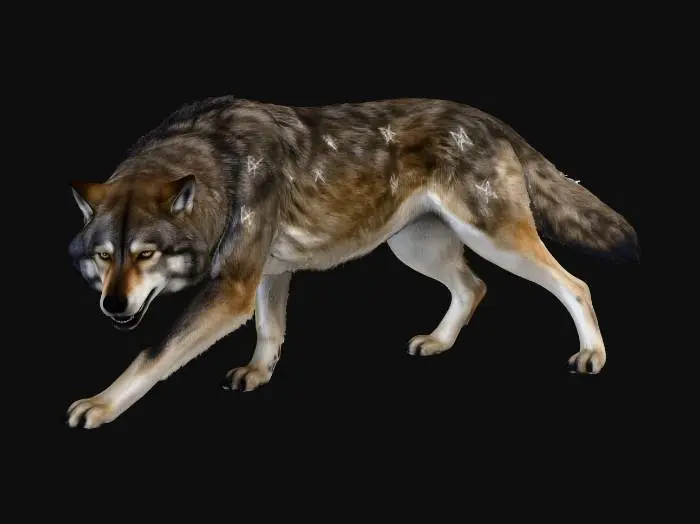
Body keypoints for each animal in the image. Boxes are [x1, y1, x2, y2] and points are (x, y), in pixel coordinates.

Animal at [67, 96, 639, 429]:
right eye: (104, 257)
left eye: (146, 254)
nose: (113, 306)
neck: (217, 165)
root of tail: (489, 119)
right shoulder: (267, 275)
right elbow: (270, 331)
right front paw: (258, 373)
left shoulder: (232, 288)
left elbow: (151, 354)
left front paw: (101, 405)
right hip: (416, 249)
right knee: (473, 287)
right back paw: (439, 341)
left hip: (496, 241)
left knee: (574, 285)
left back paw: (592, 354)